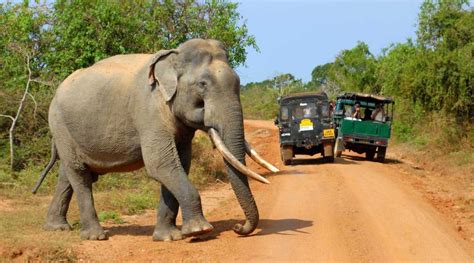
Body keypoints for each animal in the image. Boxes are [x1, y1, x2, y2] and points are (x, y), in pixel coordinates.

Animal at [32, 38, 278, 242]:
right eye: (203, 84)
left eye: (238, 82)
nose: (238, 227)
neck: (172, 58)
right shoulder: (149, 111)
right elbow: (161, 164)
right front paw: (200, 231)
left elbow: (180, 164)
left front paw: (169, 237)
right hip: (60, 125)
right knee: (79, 174)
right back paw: (96, 236)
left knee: (68, 174)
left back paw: (56, 228)